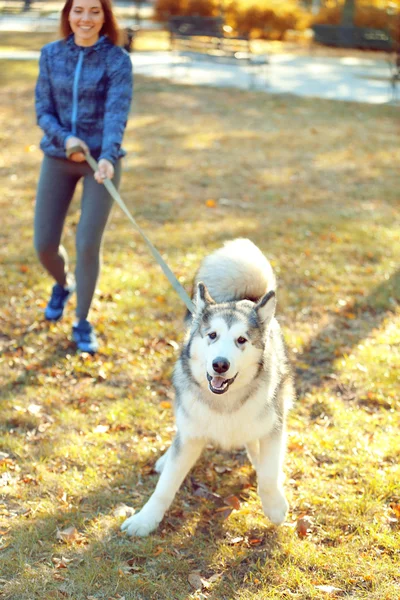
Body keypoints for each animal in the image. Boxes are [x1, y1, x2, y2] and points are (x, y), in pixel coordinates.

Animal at [121, 237, 294, 536]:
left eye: (241, 340)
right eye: (212, 335)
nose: (220, 365)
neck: (225, 403)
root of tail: (245, 298)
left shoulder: (273, 426)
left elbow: (269, 472)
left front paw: (274, 505)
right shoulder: (190, 435)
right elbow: (165, 487)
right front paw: (145, 520)